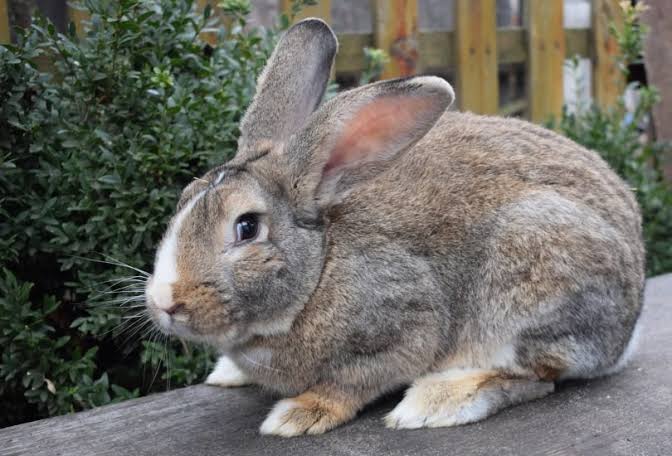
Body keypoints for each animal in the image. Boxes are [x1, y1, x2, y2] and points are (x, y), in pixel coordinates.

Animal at [146, 18, 644, 438]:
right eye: (184, 198)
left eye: (247, 227)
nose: (164, 301)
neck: (321, 268)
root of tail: (626, 330)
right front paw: (229, 373)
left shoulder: (406, 326)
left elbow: (353, 382)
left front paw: (298, 414)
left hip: (527, 281)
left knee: (535, 376)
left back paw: (437, 402)